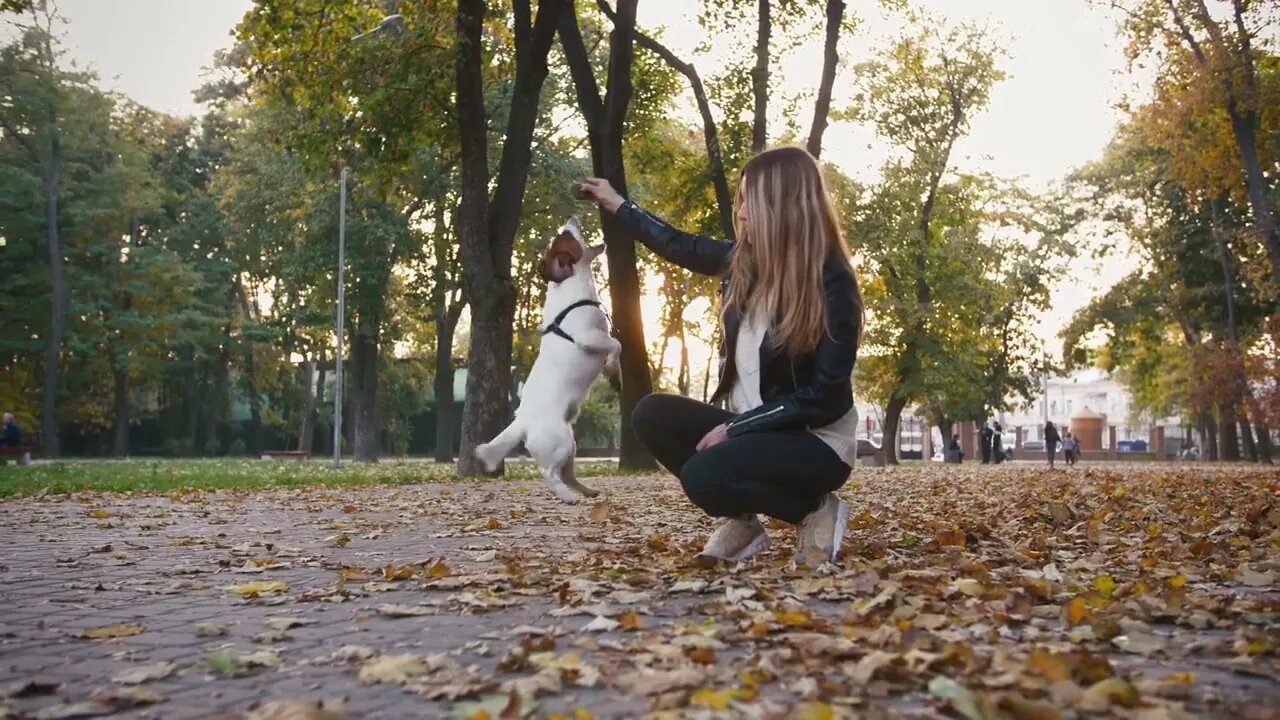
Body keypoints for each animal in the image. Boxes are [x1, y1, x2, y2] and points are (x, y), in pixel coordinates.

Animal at [478, 215, 622, 502]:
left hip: (570, 445)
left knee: (567, 475)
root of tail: (522, 422)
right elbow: (616, 344)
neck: (573, 286)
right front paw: (611, 364)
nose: (572, 217)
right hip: (561, 442)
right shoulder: (589, 337)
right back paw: (568, 496)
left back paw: (585, 491)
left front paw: (615, 373)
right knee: (550, 475)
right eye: (566, 235)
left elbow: (616, 348)